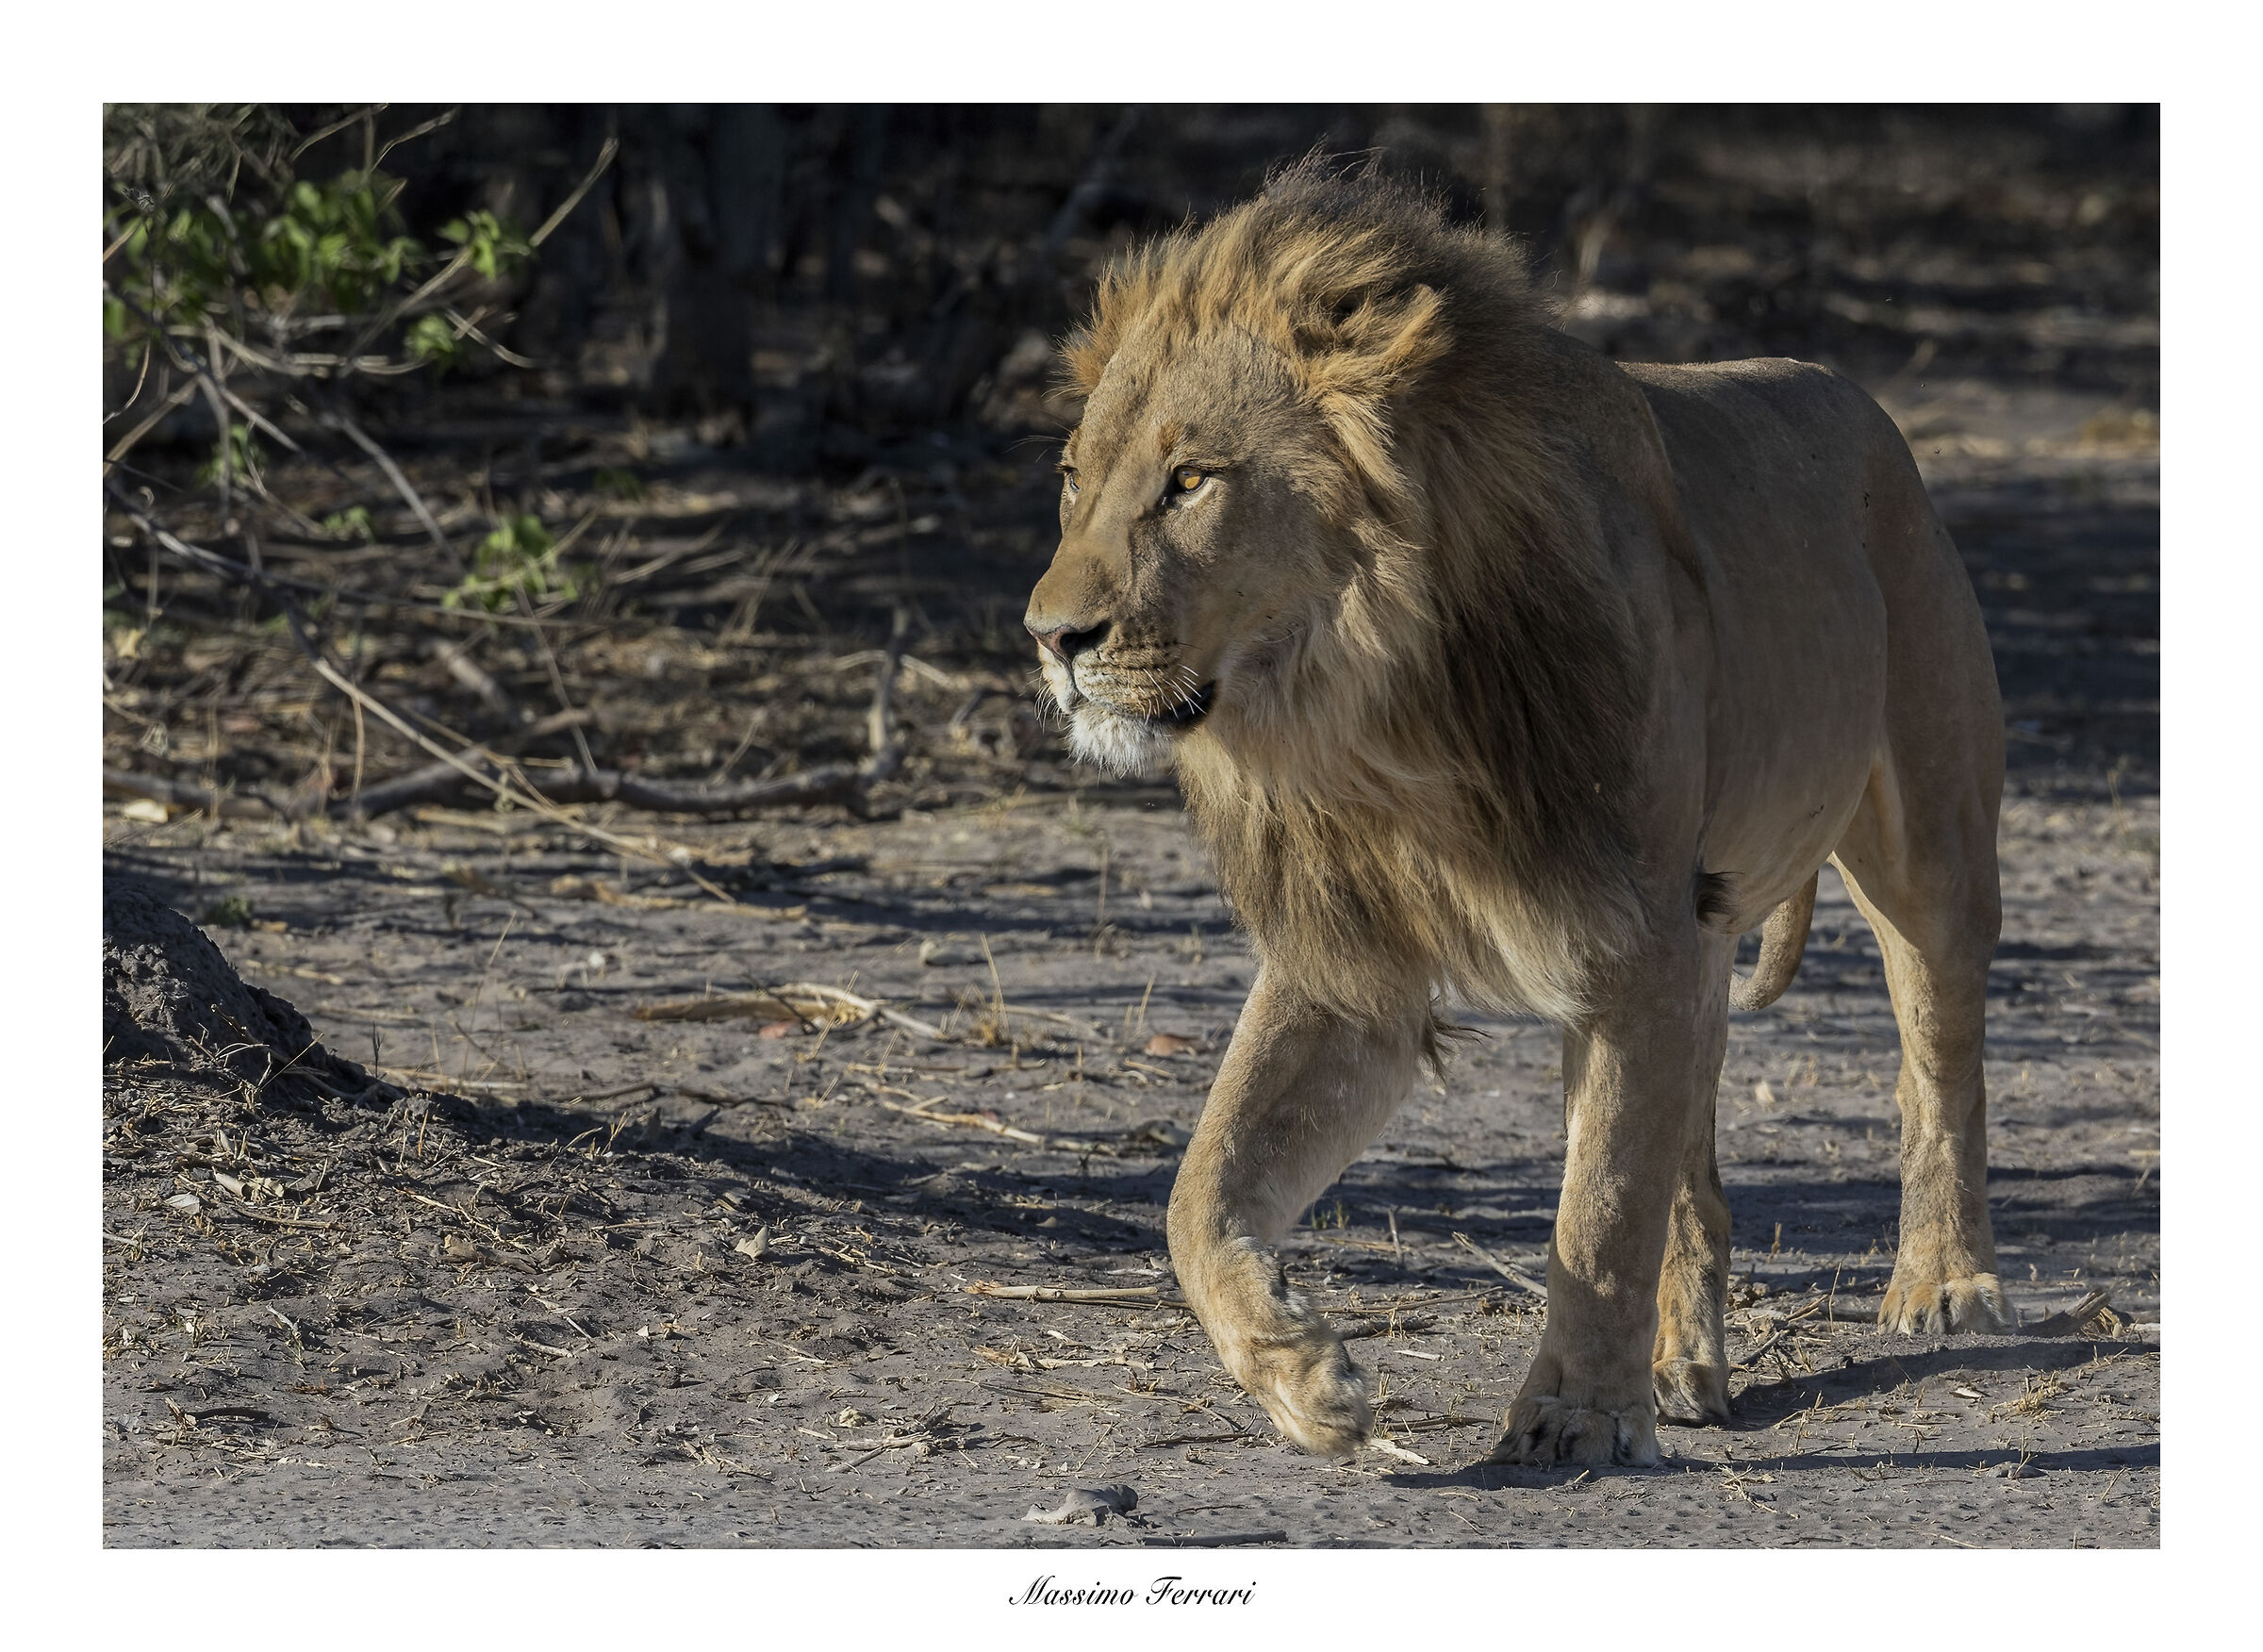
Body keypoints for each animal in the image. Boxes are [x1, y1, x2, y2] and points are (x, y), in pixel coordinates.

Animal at [1024, 163, 2008, 1467]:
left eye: (1190, 482)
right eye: (1074, 480)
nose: (1052, 638)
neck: (1371, 711)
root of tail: (1852, 396)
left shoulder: (1628, 930)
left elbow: (1598, 1208)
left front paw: (1575, 1421)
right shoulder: (1355, 958)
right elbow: (1202, 1185)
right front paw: (1304, 1371)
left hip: (1926, 852)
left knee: (1936, 1068)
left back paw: (1946, 1285)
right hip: (1697, 935)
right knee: (1688, 1163)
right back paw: (1680, 1364)